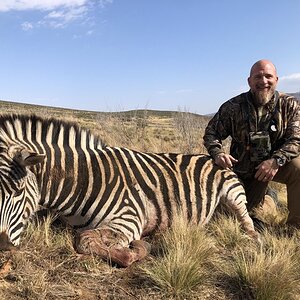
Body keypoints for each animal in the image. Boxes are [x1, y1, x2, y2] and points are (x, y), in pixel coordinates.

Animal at [0, 113, 260, 266]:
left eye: (18, 190)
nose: (2, 245)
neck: (82, 180)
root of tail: (217, 156)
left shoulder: (128, 219)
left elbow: (84, 241)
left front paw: (140, 247)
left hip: (234, 195)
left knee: (248, 222)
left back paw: (253, 240)